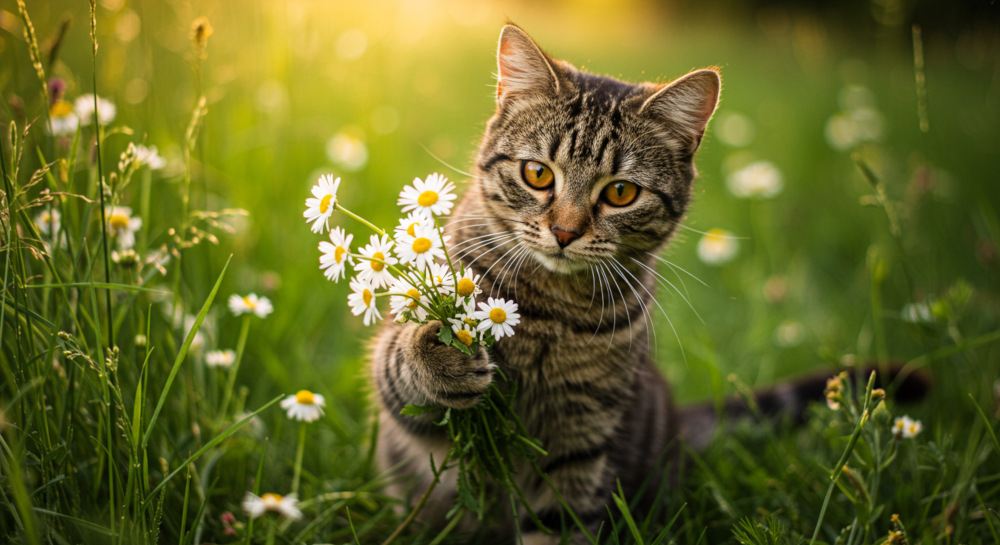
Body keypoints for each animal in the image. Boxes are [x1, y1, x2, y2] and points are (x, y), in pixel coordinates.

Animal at [372, 23, 724, 540]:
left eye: (622, 192)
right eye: (537, 173)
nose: (564, 232)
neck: (551, 314)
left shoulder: (581, 440)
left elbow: (560, 523)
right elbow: (400, 363)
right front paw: (444, 354)